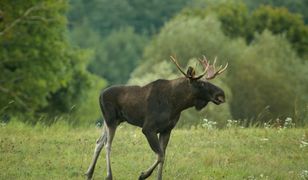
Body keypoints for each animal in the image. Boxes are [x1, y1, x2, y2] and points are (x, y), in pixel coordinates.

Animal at [85, 55, 227, 179]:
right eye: (201, 84)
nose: (221, 94)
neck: (177, 104)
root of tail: (100, 95)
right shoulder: (148, 128)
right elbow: (160, 156)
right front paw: (143, 175)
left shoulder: (167, 130)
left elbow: (163, 156)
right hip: (110, 119)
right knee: (107, 144)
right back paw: (108, 175)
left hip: (113, 120)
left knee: (99, 142)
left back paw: (89, 173)